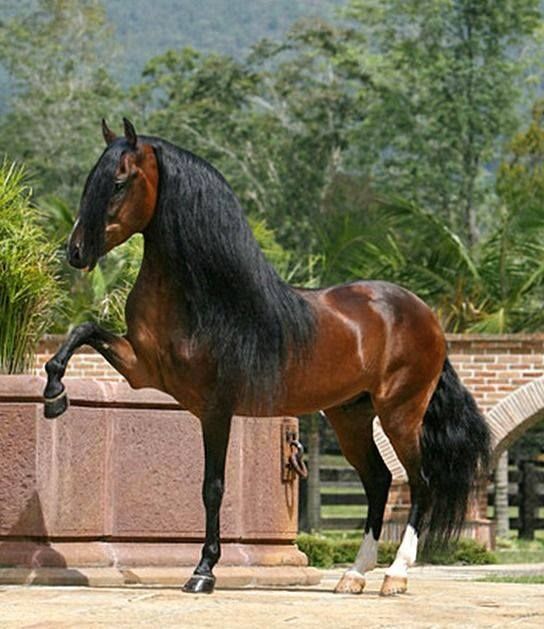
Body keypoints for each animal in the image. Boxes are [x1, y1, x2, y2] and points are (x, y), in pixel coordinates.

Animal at [44, 119, 490, 592]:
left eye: (119, 181)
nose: (76, 252)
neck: (203, 298)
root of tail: (426, 315)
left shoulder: (216, 408)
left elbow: (213, 487)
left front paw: (203, 571)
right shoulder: (141, 367)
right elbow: (82, 331)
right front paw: (54, 396)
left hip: (400, 413)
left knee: (420, 483)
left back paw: (396, 575)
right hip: (351, 416)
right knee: (379, 481)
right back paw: (353, 575)